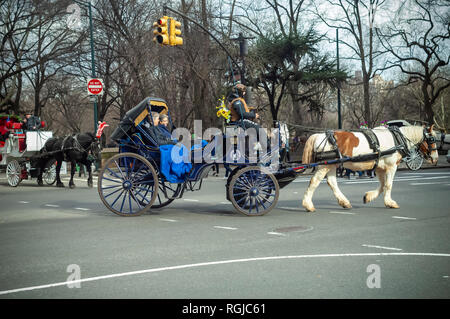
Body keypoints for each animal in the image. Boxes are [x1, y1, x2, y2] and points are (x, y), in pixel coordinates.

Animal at [300, 125, 438, 212]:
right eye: (431, 139)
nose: (435, 159)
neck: (397, 139)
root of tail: (318, 135)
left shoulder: (379, 168)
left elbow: (382, 185)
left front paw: (368, 197)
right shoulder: (391, 166)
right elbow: (388, 185)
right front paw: (390, 202)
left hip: (332, 165)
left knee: (332, 183)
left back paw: (344, 202)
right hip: (325, 165)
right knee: (314, 181)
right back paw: (308, 205)